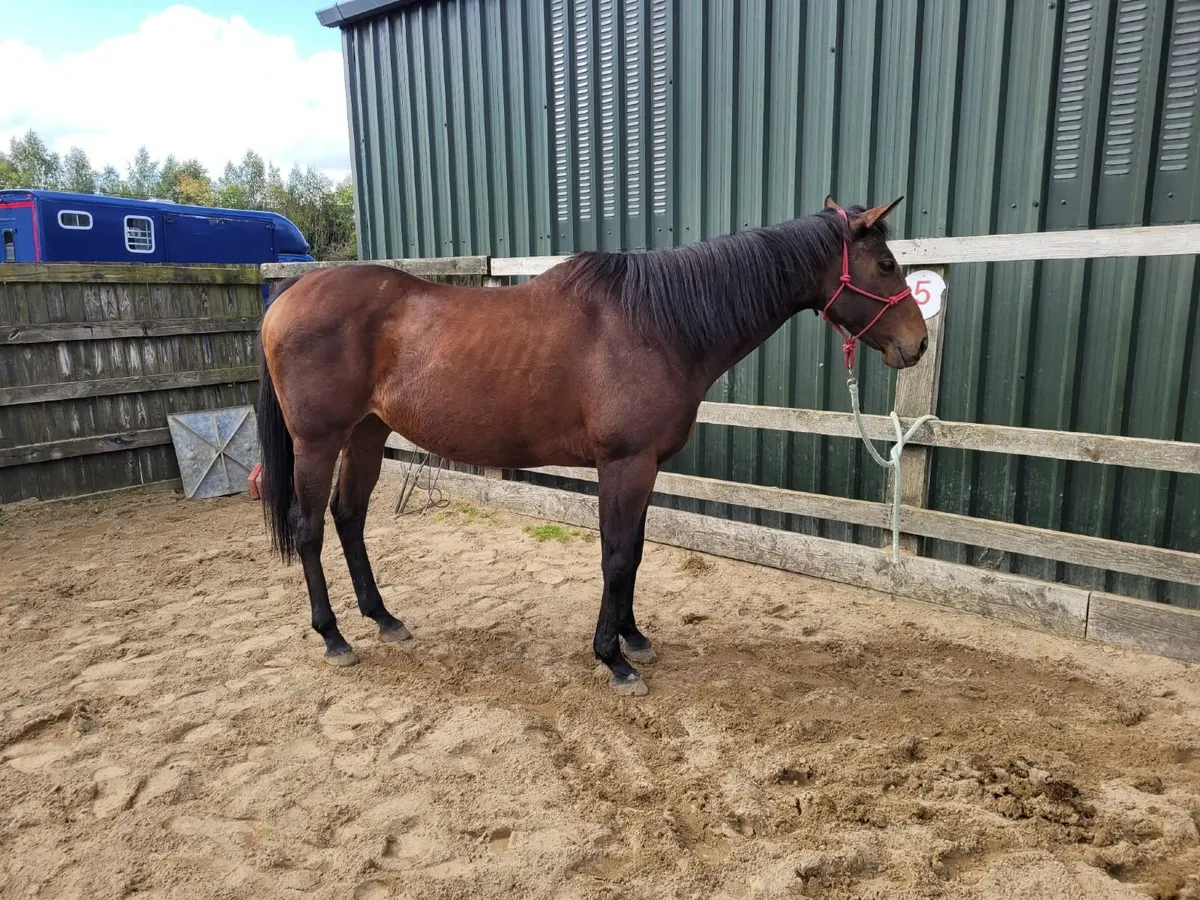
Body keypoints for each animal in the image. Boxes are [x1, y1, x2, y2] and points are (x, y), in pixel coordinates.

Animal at [255, 196, 928, 695]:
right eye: (886, 265)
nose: (917, 344)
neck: (658, 324)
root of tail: (285, 299)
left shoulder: (645, 467)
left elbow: (632, 551)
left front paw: (633, 637)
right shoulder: (624, 464)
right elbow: (617, 557)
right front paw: (614, 659)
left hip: (368, 434)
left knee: (350, 516)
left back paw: (384, 619)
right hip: (318, 441)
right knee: (310, 528)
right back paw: (334, 636)